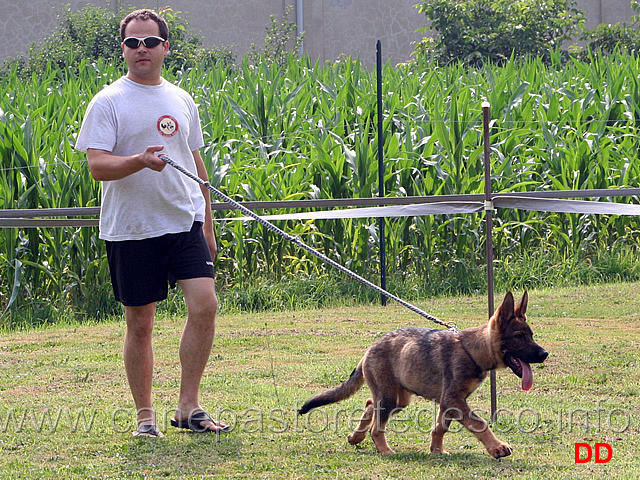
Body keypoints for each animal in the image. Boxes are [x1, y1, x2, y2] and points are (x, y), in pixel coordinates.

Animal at [298, 290, 548, 456]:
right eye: (519, 337)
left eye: (531, 335)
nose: (545, 354)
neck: (472, 350)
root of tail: (369, 349)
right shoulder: (453, 400)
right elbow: (479, 423)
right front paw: (497, 447)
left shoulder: (450, 402)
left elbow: (440, 427)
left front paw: (436, 450)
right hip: (390, 398)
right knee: (376, 426)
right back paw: (385, 450)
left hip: (398, 398)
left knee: (370, 404)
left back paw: (355, 437)